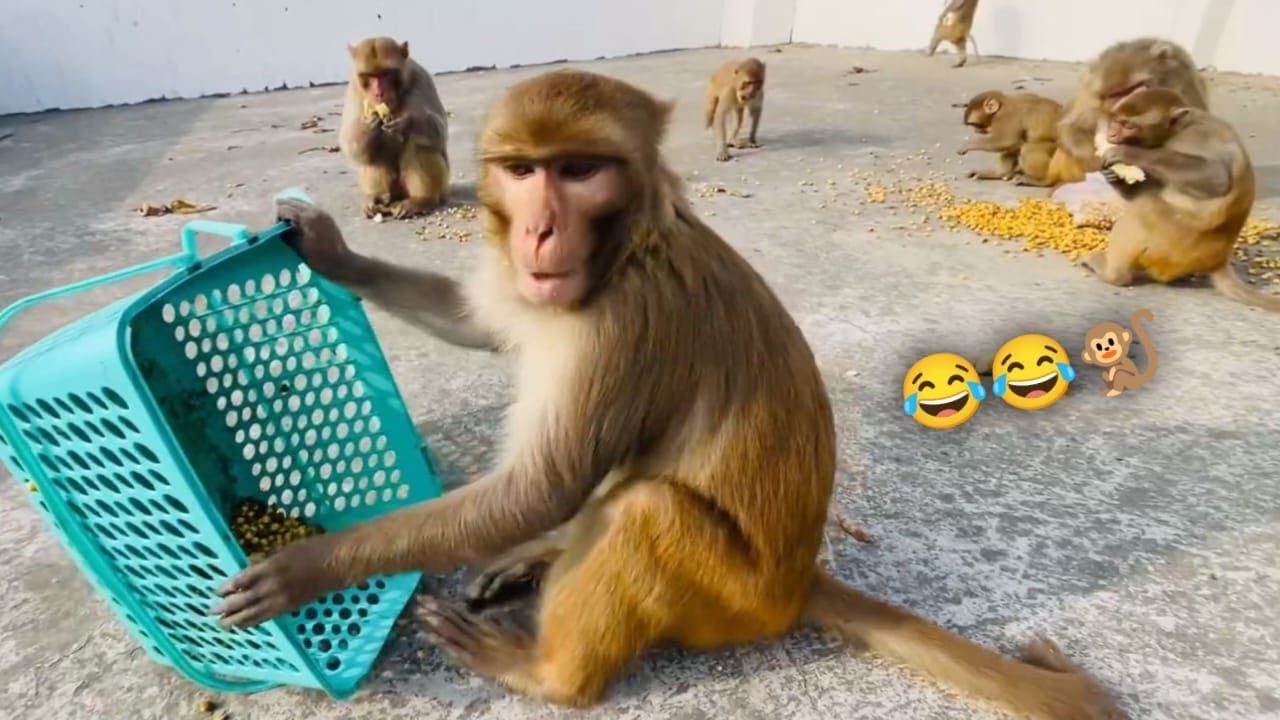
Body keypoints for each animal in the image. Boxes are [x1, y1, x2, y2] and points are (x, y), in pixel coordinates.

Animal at [212, 69, 1125, 719]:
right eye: (522, 170)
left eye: (579, 171)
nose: (540, 231)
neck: (626, 248)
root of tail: (796, 584)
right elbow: (479, 323)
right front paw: (330, 249)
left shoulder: (622, 323)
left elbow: (543, 485)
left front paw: (307, 567)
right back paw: (545, 558)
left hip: (729, 601)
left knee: (645, 509)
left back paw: (549, 675)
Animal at [339, 36, 450, 220]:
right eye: (371, 76)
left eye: (386, 74)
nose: (379, 94)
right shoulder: (354, 88)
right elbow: (350, 143)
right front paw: (369, 126)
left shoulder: (422, 78)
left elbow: (440, 132)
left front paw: (407, 123)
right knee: (372, 152)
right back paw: (376, 199)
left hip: (442, 185)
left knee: (417, 145)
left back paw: (421, 200)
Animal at [1057, 37, 1208, 174]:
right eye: (1116, 94)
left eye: (1134, 87)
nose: (1127, 102)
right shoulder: (1089, 97)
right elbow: (1071, 127)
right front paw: (1093, 161)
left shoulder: (1182, 83)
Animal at [1080, 87, 1280, 312]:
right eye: (1115, 120)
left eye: (1129, 126)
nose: (1111, 134)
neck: (1176, 132)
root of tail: (1218, 259)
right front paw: (1114, 175)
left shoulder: (1196, 137)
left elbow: (1216, 177)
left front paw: (1128, 154)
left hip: (1174, 244)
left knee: (1142, 210)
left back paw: (1114, 275)